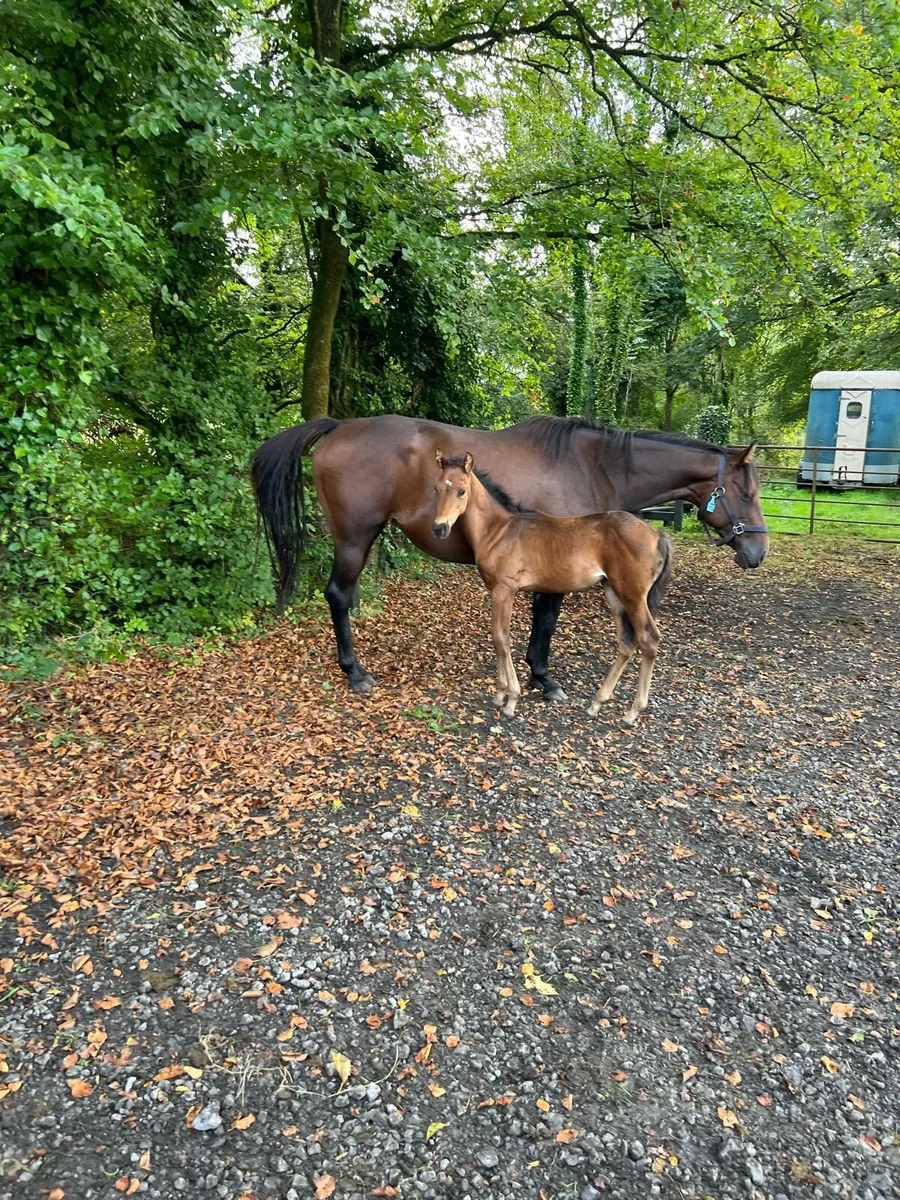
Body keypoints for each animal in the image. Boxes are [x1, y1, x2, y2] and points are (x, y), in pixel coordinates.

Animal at [251, 413, 768, 696]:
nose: (758, 550)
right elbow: (546, 622)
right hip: (354, 539)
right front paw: (542, 678)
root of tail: (339, 427)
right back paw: (354, 672)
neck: (591, 465)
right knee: (338, 595)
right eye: (746, 491)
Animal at [432, 450, 671, 725]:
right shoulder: (497, 590)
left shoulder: (505, 590)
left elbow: (501, 638)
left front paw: (510, 699)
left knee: (648, 639)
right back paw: (596, 703)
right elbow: (498, 637)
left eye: (461, 490)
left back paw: (632, 712)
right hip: (614, 592)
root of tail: (658, 535)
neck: (499, 531)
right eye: (436, 488)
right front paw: (501, 694)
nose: (439, 528)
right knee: (626, 642)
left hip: (633, 595)